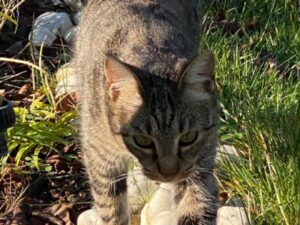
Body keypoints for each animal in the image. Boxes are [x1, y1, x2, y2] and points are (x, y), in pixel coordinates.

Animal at [75, 0, 218, 225]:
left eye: (188, 137)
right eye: (142, 140)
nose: (169, 174)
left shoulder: (201, 163)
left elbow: (196, 208)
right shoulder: (100, 158)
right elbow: (112, 209)